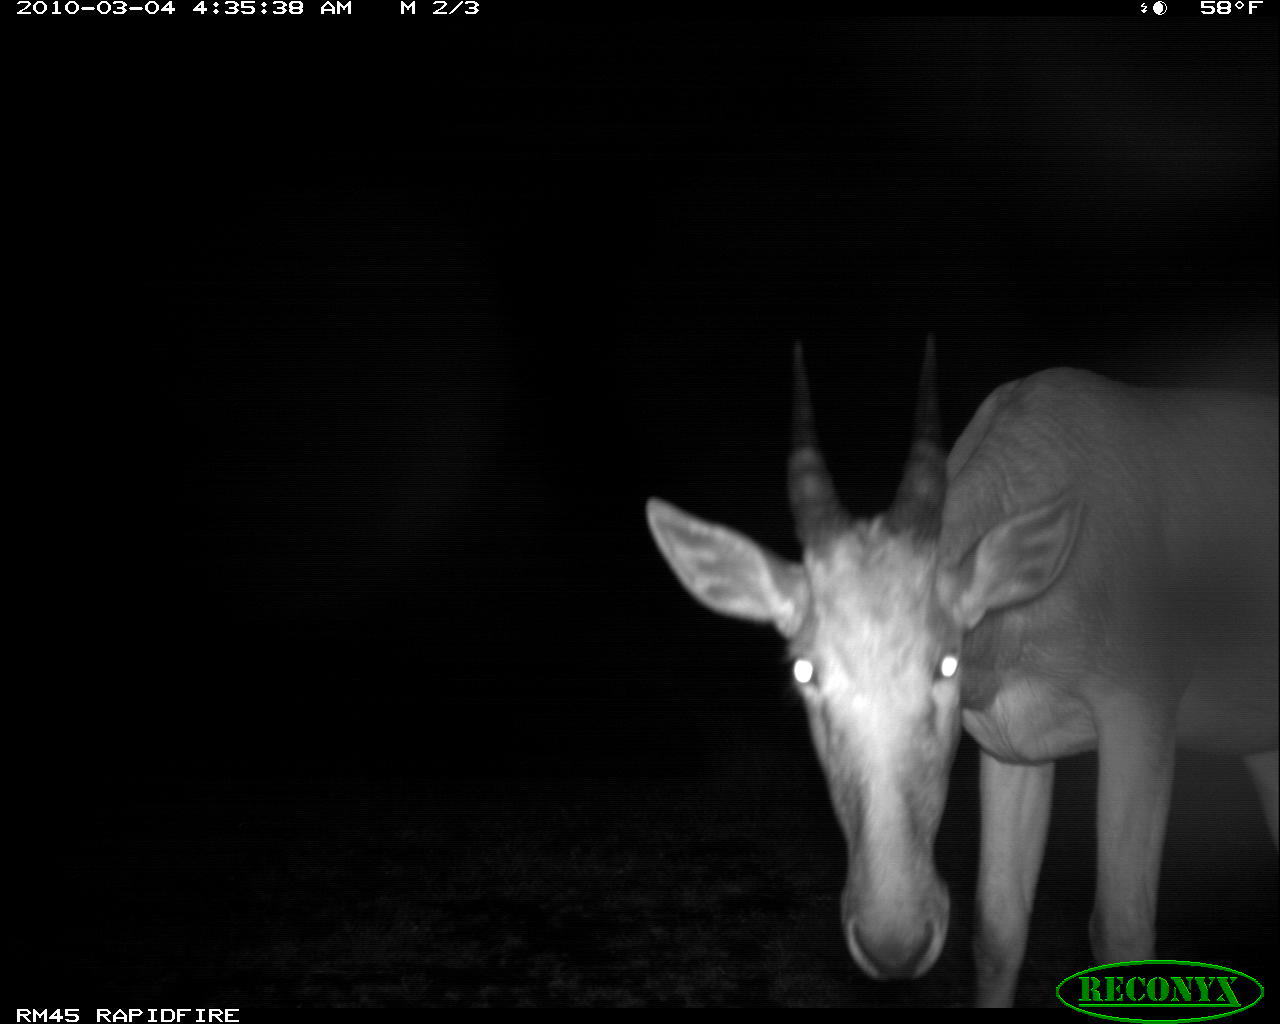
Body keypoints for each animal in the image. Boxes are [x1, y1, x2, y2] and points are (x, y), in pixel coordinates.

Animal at [645, 340, 1274, 1003]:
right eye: (804, 670)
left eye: (946, 662)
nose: (894, 941)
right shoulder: (1012, 749)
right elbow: (998, 931)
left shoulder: (1142, 716)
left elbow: (1121, 930)